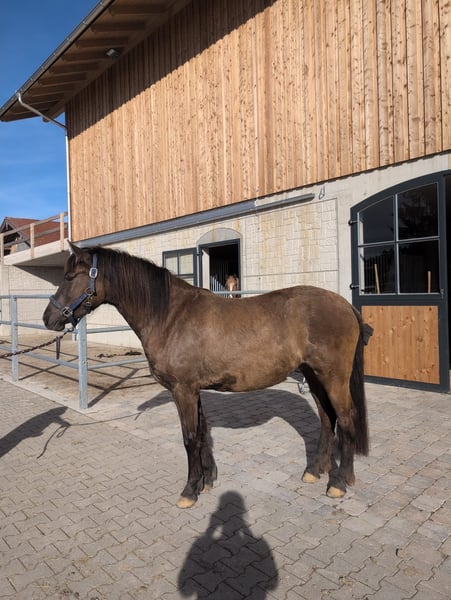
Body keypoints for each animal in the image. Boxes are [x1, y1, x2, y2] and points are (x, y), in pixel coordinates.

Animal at [43, 243, 371, 509]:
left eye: (70, 277)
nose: (49, 318)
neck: (170, 316)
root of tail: (345, 305)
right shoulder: (194, 390)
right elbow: (202, 433)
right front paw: (207, 480)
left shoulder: (183, 390)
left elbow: (189, 437)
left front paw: (189, 491)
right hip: (313, 376)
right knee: (328, 418)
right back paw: (315, 471)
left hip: (333, 377)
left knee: (347, 418)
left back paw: (339, 483)